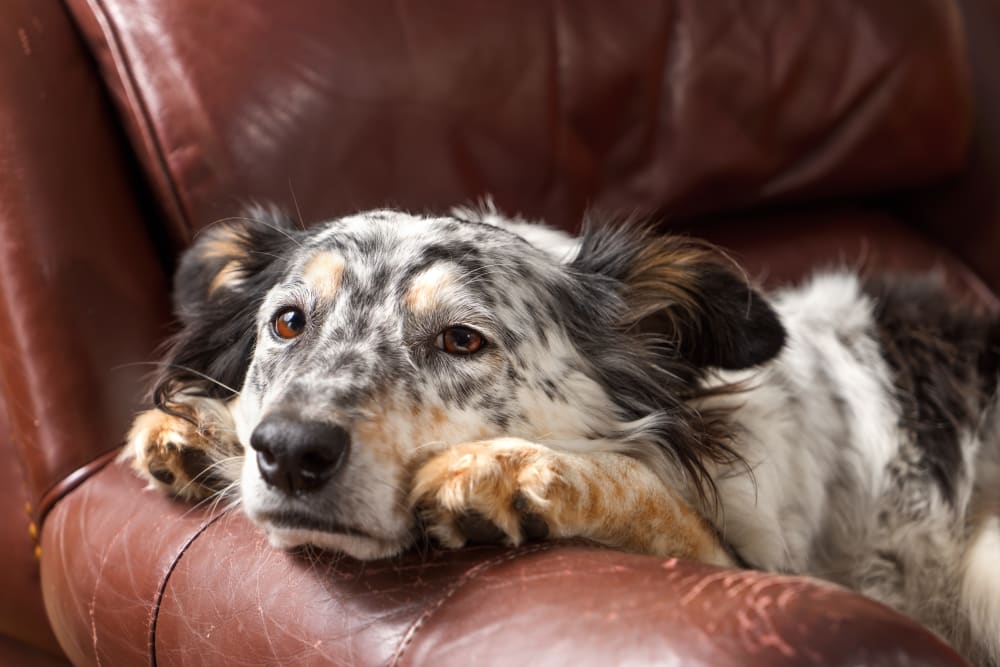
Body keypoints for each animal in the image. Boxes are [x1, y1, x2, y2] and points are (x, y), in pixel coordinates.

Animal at [125, 206, 1000, 664]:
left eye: (462, 340)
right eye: (288, 322)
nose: (290, 451)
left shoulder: (772, 569)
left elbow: (647, 490)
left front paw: (508, 471)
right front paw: (201, 428)